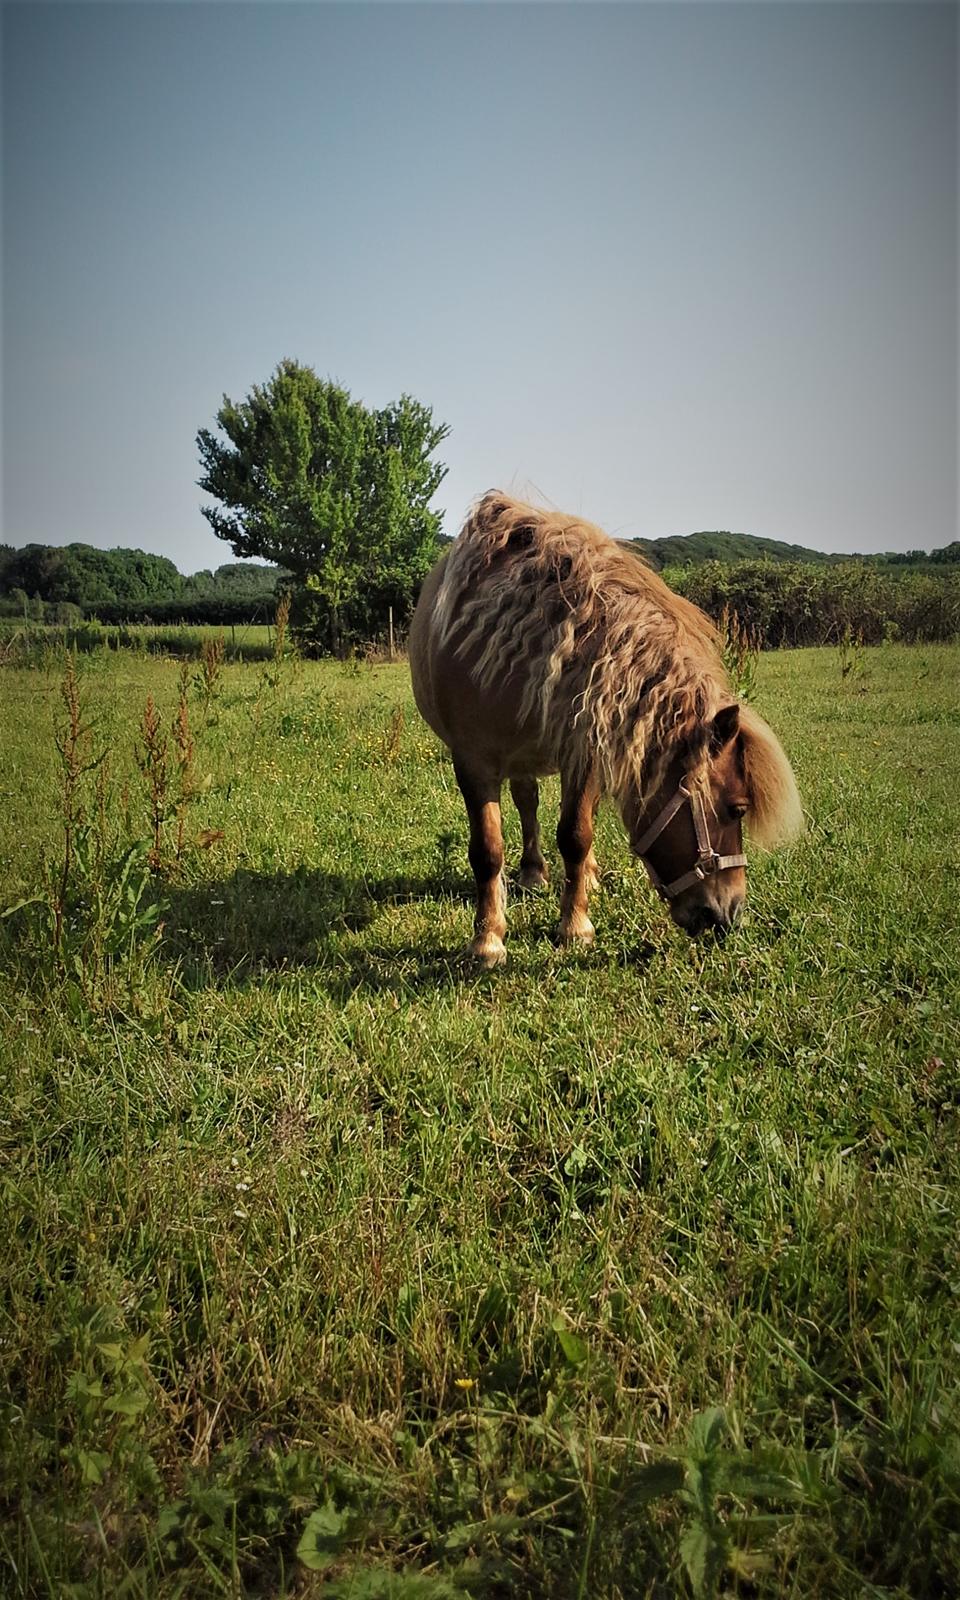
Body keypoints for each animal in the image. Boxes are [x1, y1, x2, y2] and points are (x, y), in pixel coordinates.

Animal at [408, 489, 806, 960]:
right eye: (737, 808)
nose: (730, 914)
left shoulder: (583, 754)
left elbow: (576, 835)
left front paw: (574, 925)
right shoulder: (472, 761)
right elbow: (487, 850)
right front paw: (488, 940)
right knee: (527, 803)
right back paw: (532, 873)